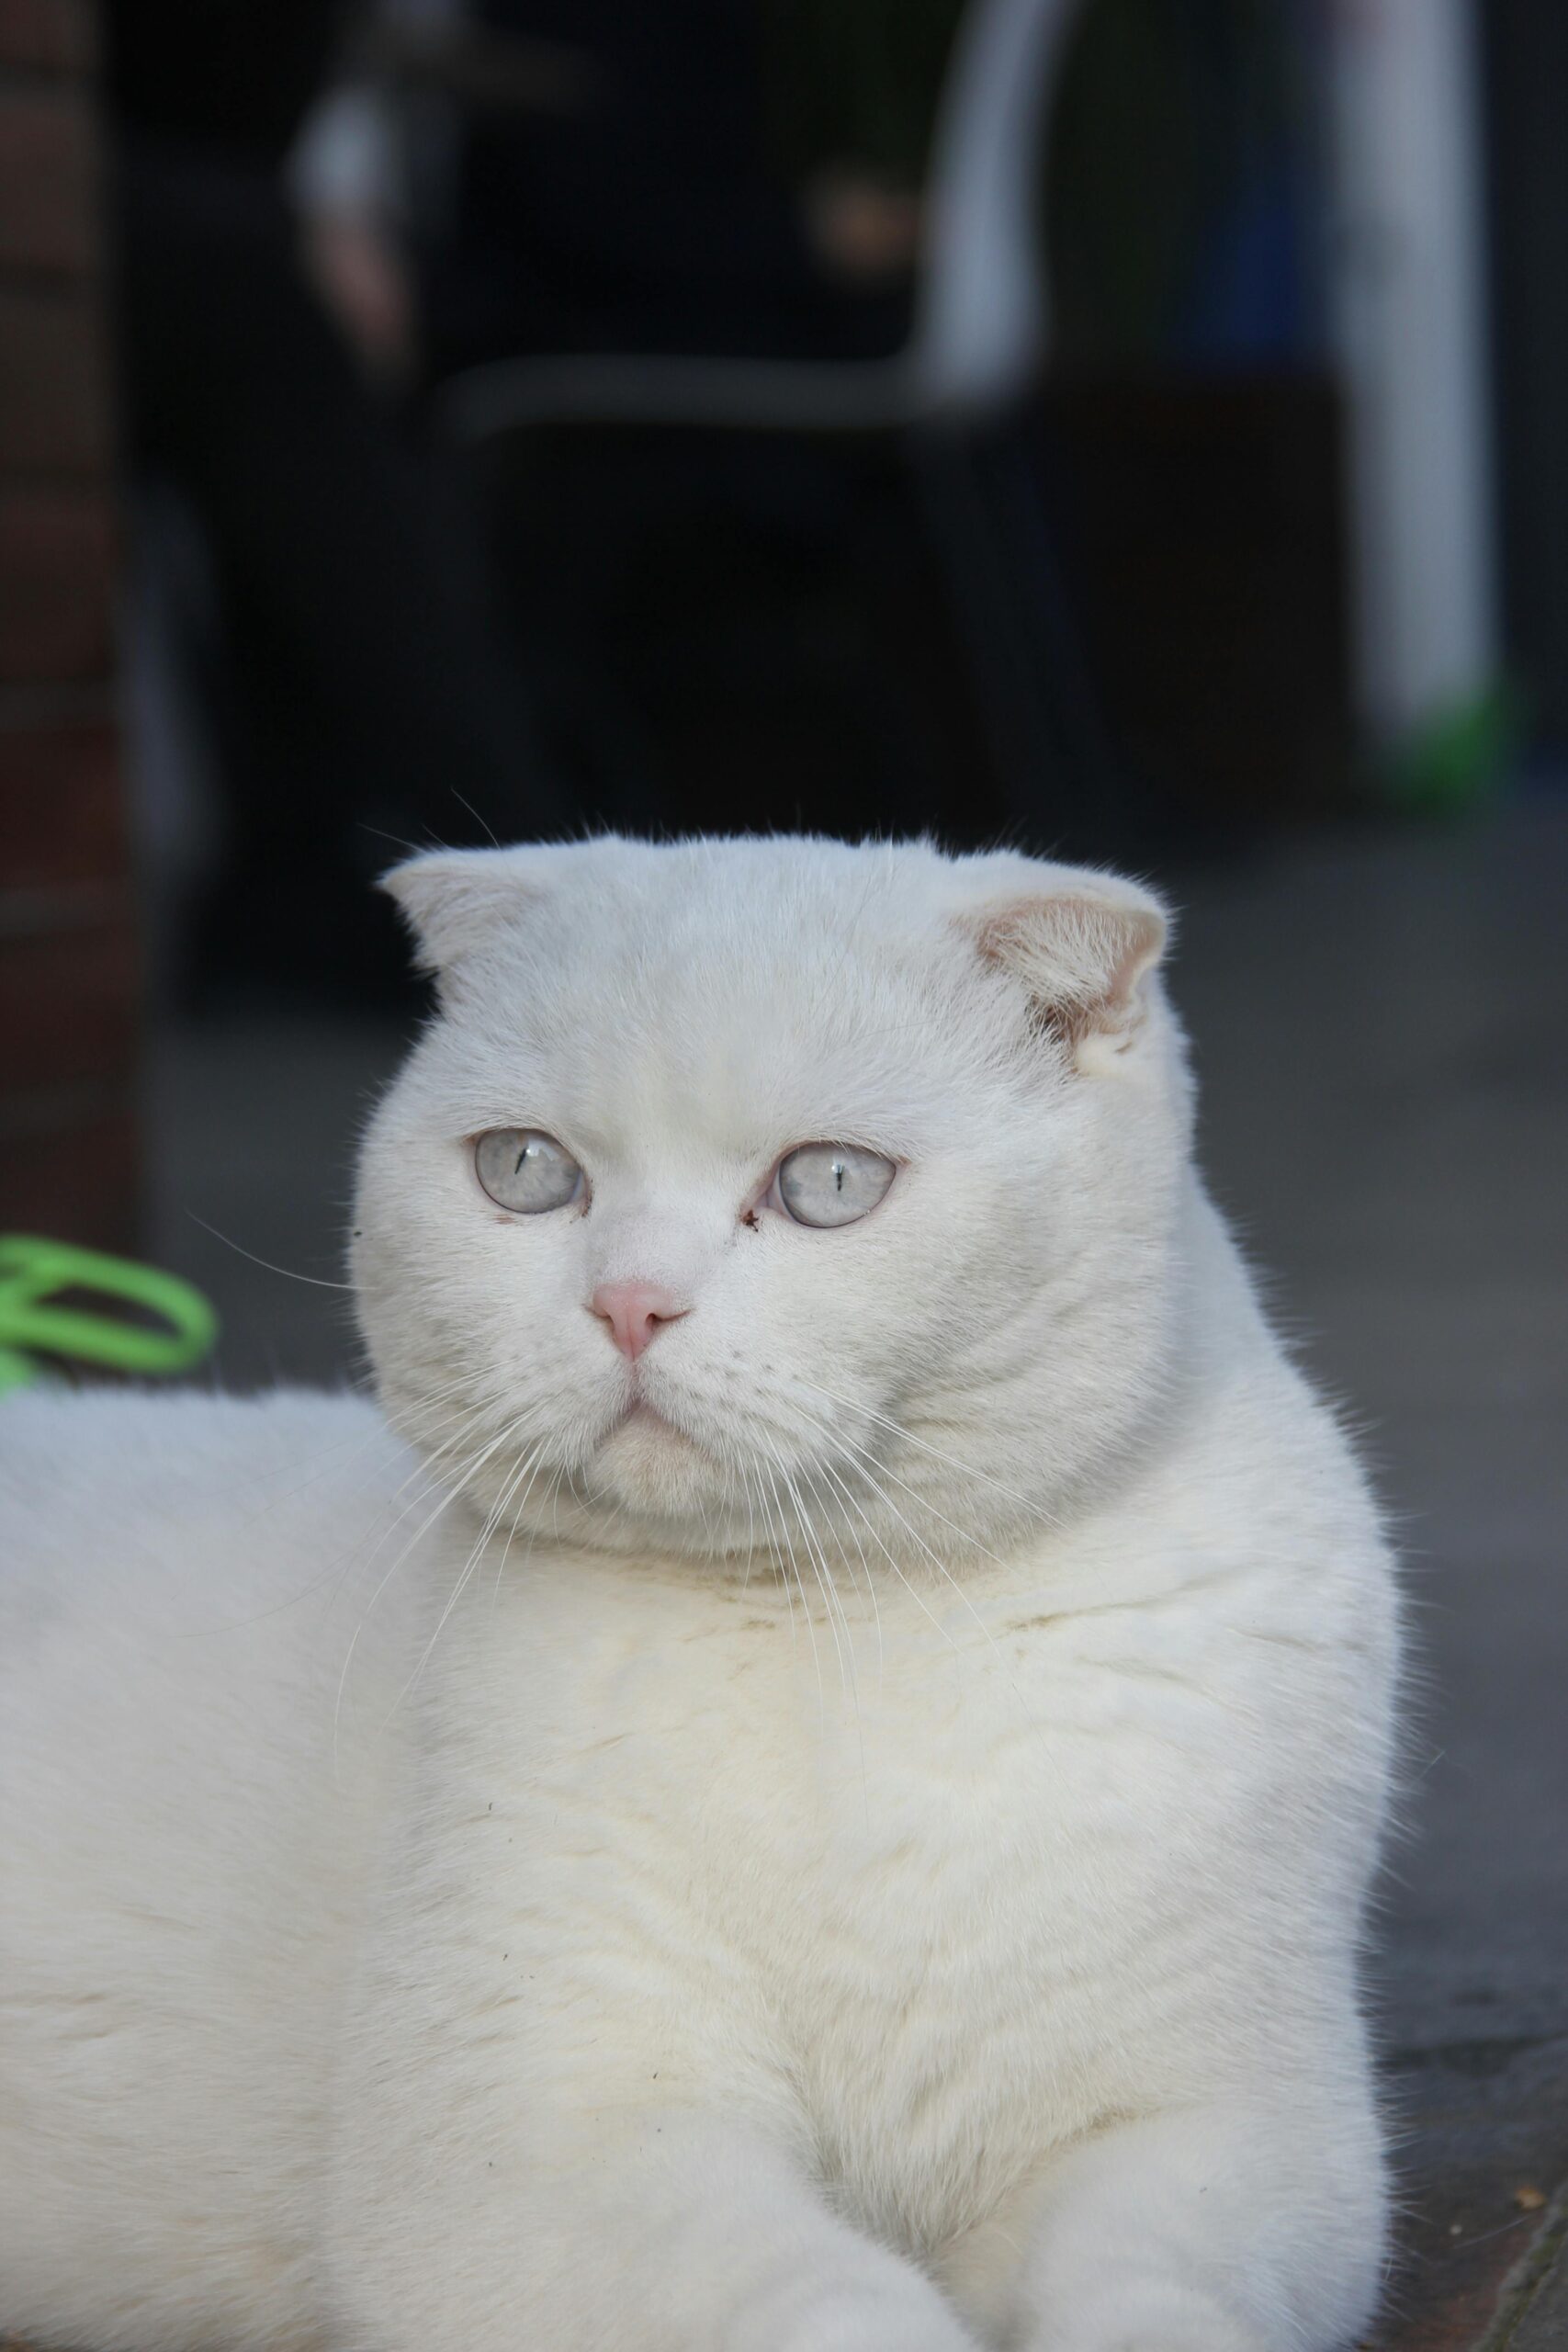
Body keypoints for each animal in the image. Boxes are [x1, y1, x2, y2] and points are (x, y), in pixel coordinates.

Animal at [0, 842, 1401, 2352]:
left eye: (830, 1183)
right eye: (527, 1172)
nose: (627, 1303)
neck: (832, 1628)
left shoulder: (1228, 2125)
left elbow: (1152, 2290)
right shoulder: (530, 2147)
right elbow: (828, 2305)